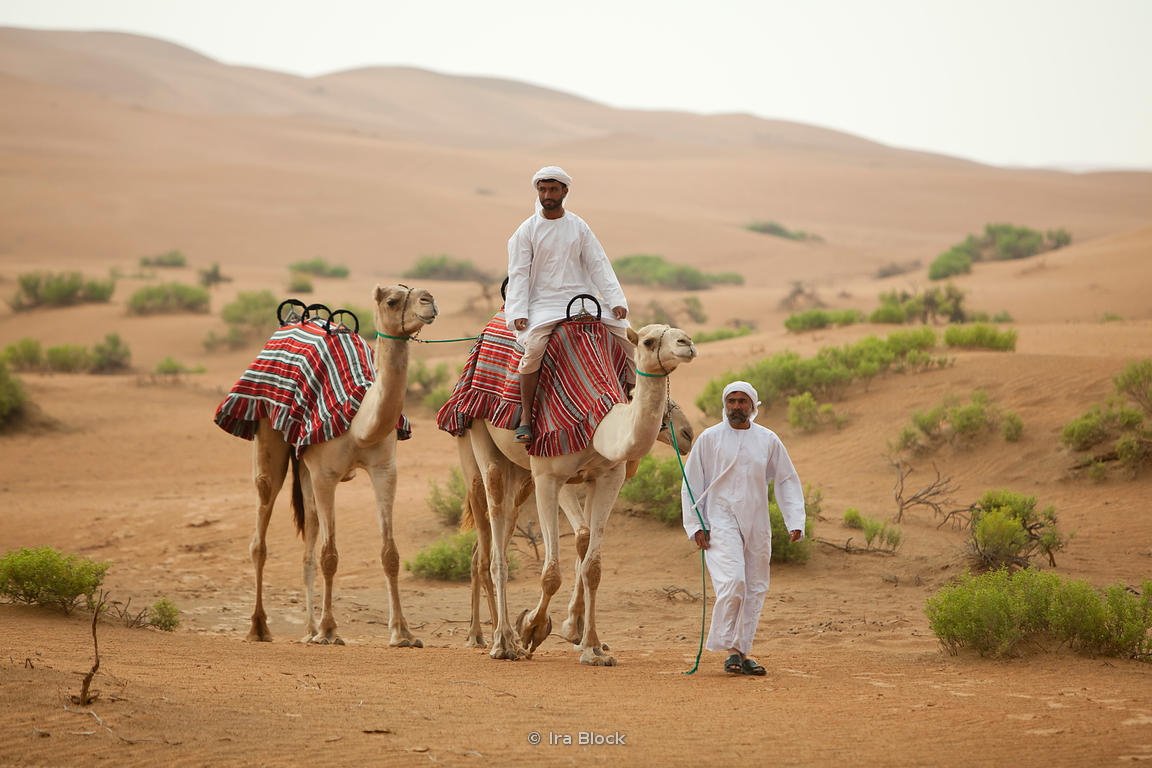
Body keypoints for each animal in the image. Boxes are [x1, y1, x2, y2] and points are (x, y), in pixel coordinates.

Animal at [246, 284, 438, 646]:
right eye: (392, 300)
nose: (428, 301)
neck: (357, 423)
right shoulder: (326, 474)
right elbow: (330, 556)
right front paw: (329, 630)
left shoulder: (385, 469)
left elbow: (390, 554)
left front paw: (402, 633)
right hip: (268, 433)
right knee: (261, 530)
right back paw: (259, 627)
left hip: (304, 468)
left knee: (307, 539)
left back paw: (307, 629)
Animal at [461, 323, 697, 664]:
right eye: (650, 341)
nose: (687, 344)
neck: (598, 422)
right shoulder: (549, 476)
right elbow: (552, 572)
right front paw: (533, 627)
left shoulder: (607, 476)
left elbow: (591, 562)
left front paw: (591, 645)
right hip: (478, 442)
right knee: (492, 549)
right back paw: (501, 641)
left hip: (520, 476)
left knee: (502, 530)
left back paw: (498, 637)